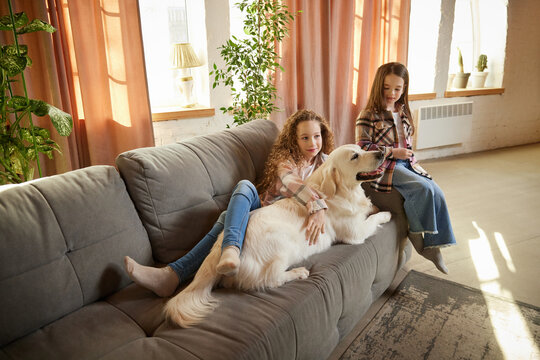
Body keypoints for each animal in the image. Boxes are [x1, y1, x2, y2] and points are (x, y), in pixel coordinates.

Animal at [162, 143, 390, 326]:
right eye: (355, 156)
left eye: (361, 149)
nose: (381, 152)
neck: (339, 191)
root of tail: (222, 248)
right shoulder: (355, 233)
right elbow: (372, 220)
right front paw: (386, 214)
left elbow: (368, 209)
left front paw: (373, 205)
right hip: (282, 244)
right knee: (271, 279)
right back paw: (299, 272)